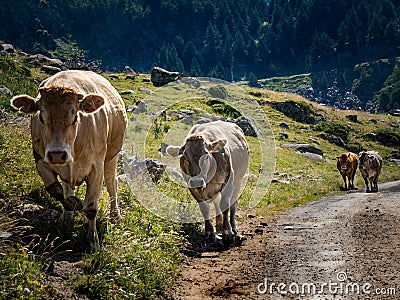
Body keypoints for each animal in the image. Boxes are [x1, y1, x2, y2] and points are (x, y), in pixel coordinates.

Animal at [10, 69, 127, 251]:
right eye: (41, 117)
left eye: (75, 117)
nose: (58, 154)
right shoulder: (40, 158)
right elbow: (56, 190)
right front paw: (73, 205)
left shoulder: (96, 167)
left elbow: (91, 207)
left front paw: (93, 241)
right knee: (67, 186)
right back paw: (67, 217)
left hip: (112, 156)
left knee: (111, 184)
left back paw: (116, 217)